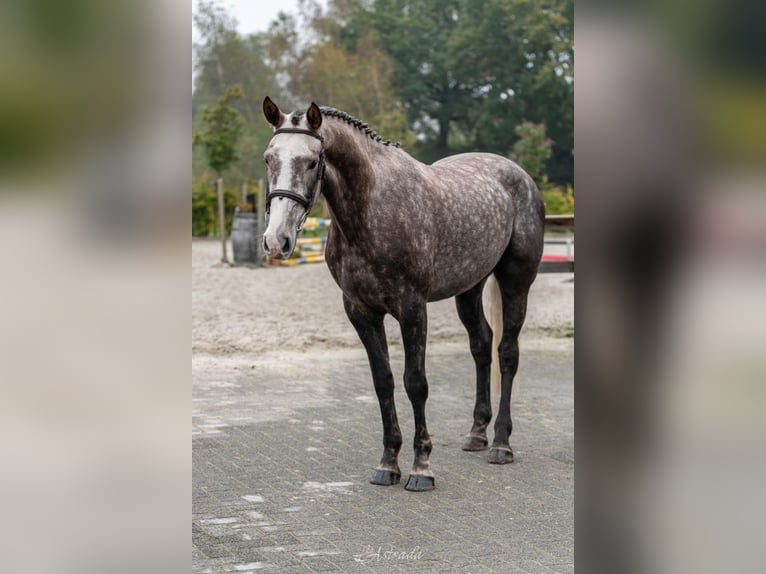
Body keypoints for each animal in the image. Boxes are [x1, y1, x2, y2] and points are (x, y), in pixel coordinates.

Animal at [264, 98, 544, 490]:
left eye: (311, 161)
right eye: (268, 159)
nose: (277, 240)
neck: (371, 209)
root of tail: (521, 176)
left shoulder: (412, 308)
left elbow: (416, 383)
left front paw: (421, 467)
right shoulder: (361, 311)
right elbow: (383, 382)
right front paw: (388, 463)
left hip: (516, 282)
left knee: (507, 353)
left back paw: (501, 443)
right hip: (468, 289)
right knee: (481, 346)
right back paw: (477, 433)